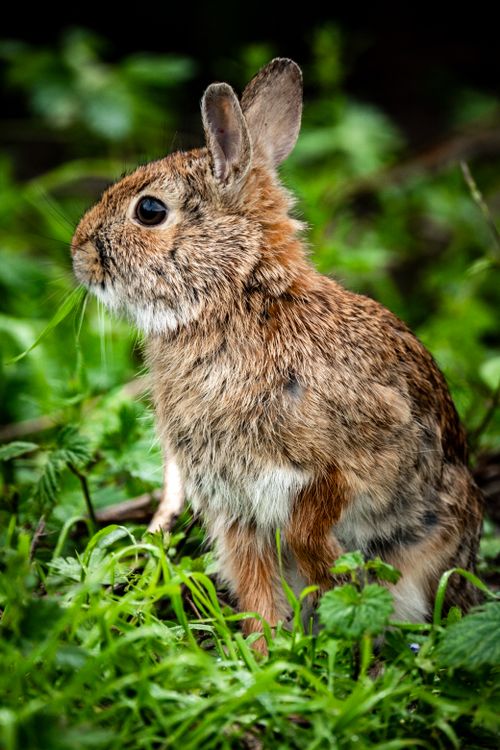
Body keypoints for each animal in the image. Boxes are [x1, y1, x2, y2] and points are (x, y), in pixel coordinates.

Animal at [71, 58, 484, 649]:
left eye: (149, 210)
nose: (78, 255)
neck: (241, 295)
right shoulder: (235, 510)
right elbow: (257, 586)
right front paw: (263, 649)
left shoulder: (349, 459)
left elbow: (314, 528)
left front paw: (324, 584)